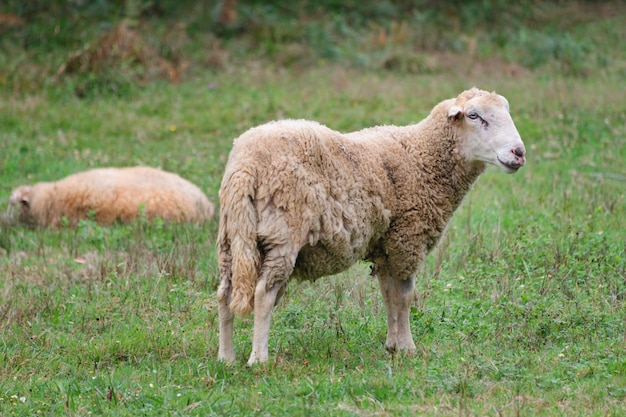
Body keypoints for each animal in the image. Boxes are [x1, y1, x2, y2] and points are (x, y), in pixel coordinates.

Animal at [217, 88, 524, 364]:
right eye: (474, 116)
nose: (519, 152)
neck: (421, 154)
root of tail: (245, 166)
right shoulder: (407, 239)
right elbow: (404, 297)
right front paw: (408, 347)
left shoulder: (386, 245)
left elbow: (388, 295)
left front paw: (392, 345)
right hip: (283, 234)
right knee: (263, 294)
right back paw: (258, 359)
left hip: (233, 237)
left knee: (225, 295)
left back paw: (226, 358)